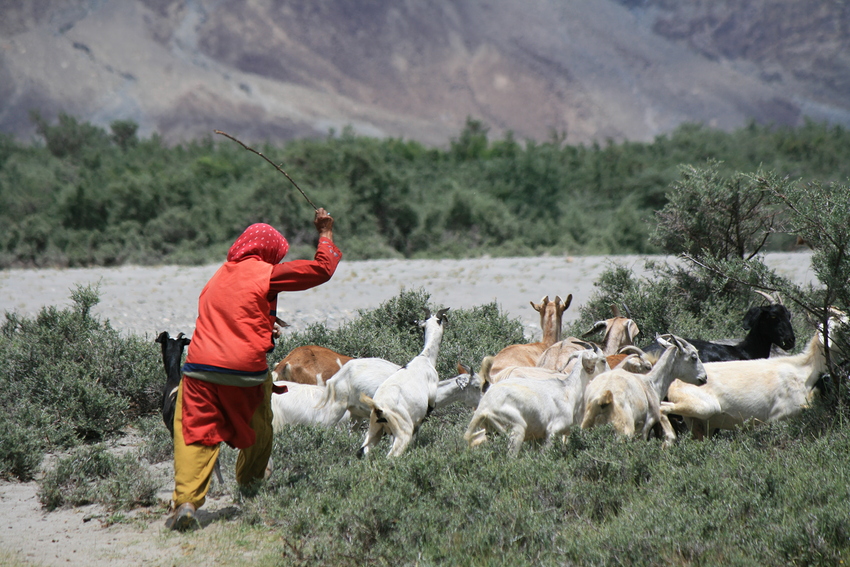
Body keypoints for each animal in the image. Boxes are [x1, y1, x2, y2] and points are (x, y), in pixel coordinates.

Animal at [356, 308, 450, 460]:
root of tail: (378, 406)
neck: (425, 358)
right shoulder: (429, 403)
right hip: (402, 432)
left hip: (374, 430)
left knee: (362, 451)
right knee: (391, 456)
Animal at [464, 346, 608, 458]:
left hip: (492, 432)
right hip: (516, 429)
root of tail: (484, 407)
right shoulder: (552, 432)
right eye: (602, 360)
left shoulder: (537, 438)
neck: (568, 389)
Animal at [664, 310, 848, 440]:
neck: (805, 369)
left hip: (700, 423)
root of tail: (674, 384)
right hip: (702, 407)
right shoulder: (780, 416)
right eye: (843, 325)